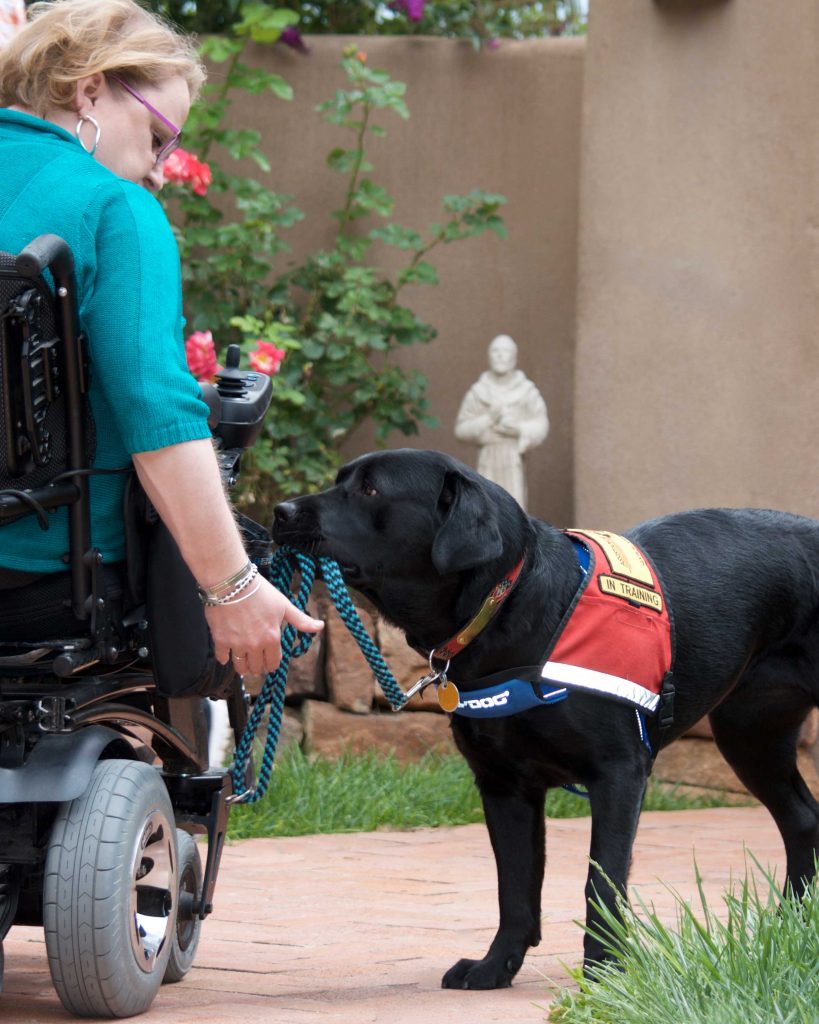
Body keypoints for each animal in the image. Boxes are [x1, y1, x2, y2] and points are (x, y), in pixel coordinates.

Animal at [272, 450, 818, 991]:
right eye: (341, 479)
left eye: (370, 490)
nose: (279, 511)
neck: (510, 607)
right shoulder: (503, 786)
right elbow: (514, 889)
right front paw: (495, 968)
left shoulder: (619, 773)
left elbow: (601, 882)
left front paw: (605, 976)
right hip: (750, 735)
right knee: (802, 820)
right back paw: (787, 929)